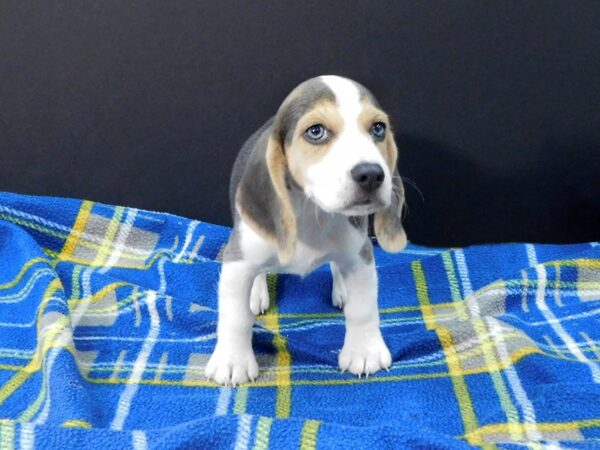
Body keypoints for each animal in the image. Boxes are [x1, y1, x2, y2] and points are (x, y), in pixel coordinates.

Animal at [206, 75, 408, 384]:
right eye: (316, 131)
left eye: (378, 128)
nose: (372, 174)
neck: (312, 213)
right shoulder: (237, 261)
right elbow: (235, 316)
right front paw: (232, 361)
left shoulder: (360, 256)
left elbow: (363, 309)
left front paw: (365, 351)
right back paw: (256, 293)